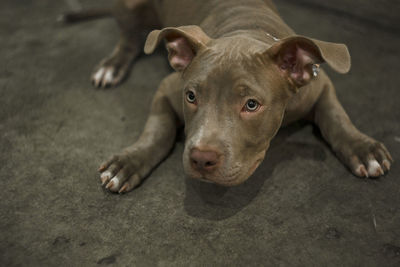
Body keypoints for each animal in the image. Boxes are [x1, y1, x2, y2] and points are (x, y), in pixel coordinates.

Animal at [62, 0, 394, 194]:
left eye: (251, 104)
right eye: (191, 96)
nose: (201, 158)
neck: (247, 31)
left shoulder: (319, 82)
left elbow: (336, 116)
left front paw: (363, 148)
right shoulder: (168, 88)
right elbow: (157, 130)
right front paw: (128, 162)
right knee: (129, 37)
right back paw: (112, 66)